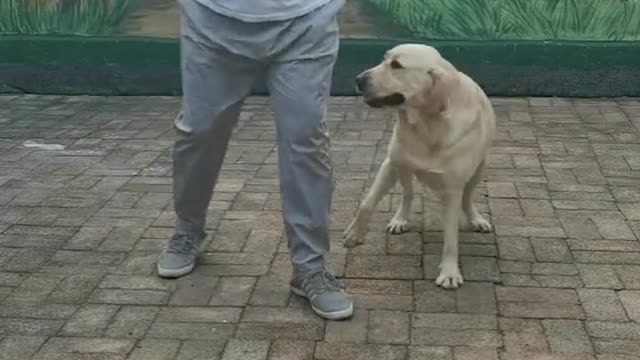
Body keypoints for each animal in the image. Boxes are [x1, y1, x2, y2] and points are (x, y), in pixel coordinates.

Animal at [344, 43, 496, 290]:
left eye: (397, 65)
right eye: (384, 59)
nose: (358, 79)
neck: (426, 125)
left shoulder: (452, 189)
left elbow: (451, 238)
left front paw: (449, 272)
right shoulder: (390, 164)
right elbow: (366, 204)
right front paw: (354, 234)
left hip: (479, 169)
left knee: (467, 198)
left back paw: (476, 219)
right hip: (402, 169)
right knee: (408, 193)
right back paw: (399, 219)